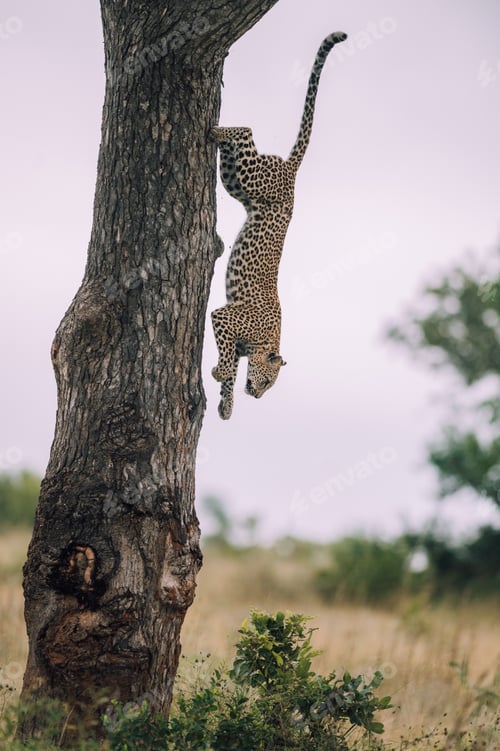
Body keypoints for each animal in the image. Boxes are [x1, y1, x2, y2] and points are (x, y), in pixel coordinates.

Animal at [210, 31, 347, 420]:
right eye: (270, 383)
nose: (258, 396)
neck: (266, 340)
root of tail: (291, 170)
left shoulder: (229, 328)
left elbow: (232, 368)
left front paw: (226, 404)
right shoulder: (223, 317)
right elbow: (228, 357)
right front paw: (220, 372)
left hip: (237, 181)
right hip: (253, 175)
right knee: (245, 130)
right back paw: (215, 130)